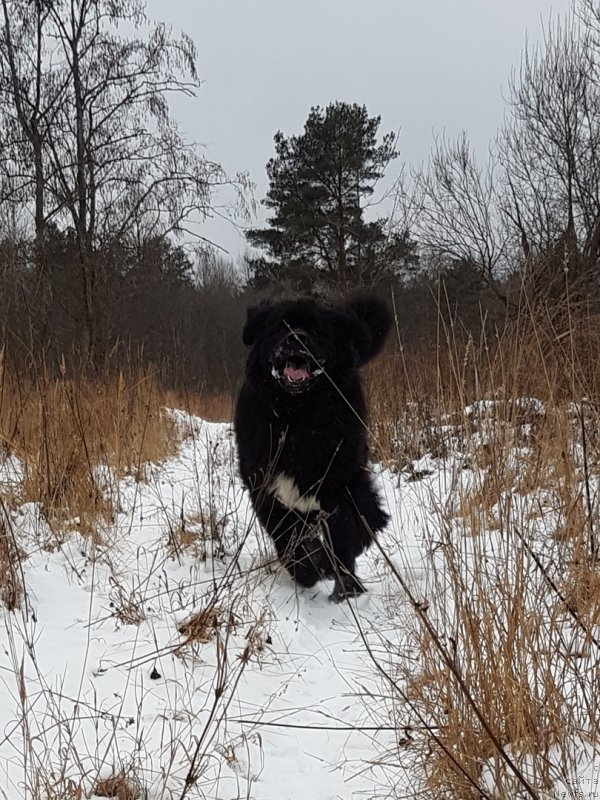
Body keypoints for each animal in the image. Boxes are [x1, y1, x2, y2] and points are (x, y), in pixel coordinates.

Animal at [234, 296, 394, 600]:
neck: (298, 418)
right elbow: (288, 540)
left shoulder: (343, 484)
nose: (296, 338)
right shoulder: (266, 490)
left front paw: (343, 587)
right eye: (280, 326)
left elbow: (345, 536)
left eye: (318, 329)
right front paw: (308, 569)